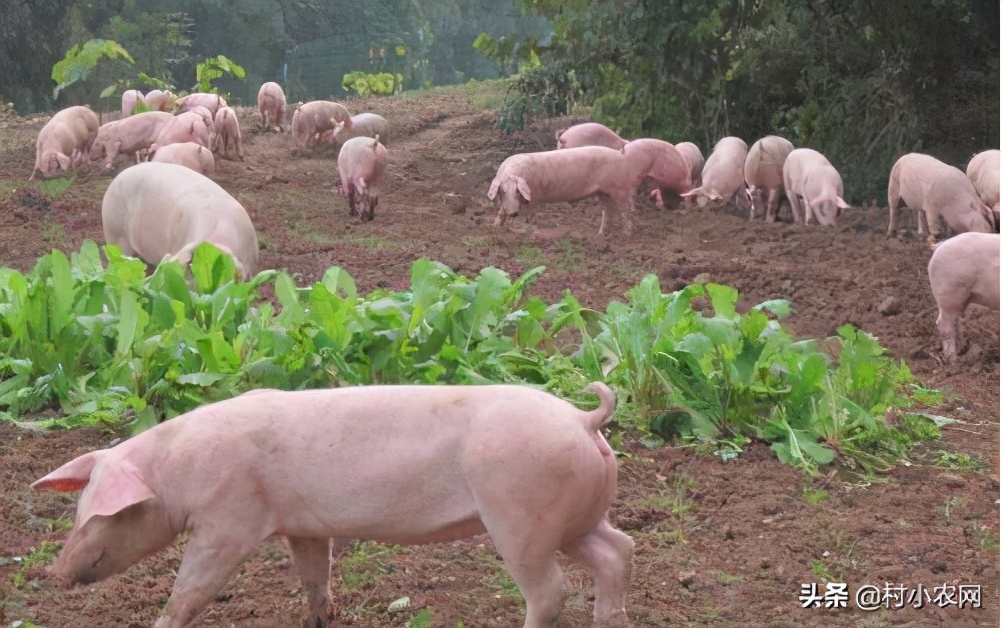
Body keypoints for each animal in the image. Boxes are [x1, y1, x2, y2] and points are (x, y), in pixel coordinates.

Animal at [33, 380, 633, 628]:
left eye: (101, 514)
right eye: (78, 506)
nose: (54, 573)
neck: (176, 473)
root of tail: (583, 419)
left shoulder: (227, 523)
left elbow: (193, 590)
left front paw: (162, 621)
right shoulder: (303, 525)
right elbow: (313, 575)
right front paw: (321, 619)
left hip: (521, 517)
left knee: (550, 590)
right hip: (577, 519)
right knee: (618, 550)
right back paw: (612, 620)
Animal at [486, 144, 657, 237]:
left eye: (517, 191)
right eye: (502, 192)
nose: (514, 214)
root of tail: (622, 157)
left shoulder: (534, 196)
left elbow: (532, 216)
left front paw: (532, 229)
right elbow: (501, 211)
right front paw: (495, 227)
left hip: (620, 190)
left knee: (627, 211)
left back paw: (625, 235)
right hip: (604, 193)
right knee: (608, 211)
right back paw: (601, 234)